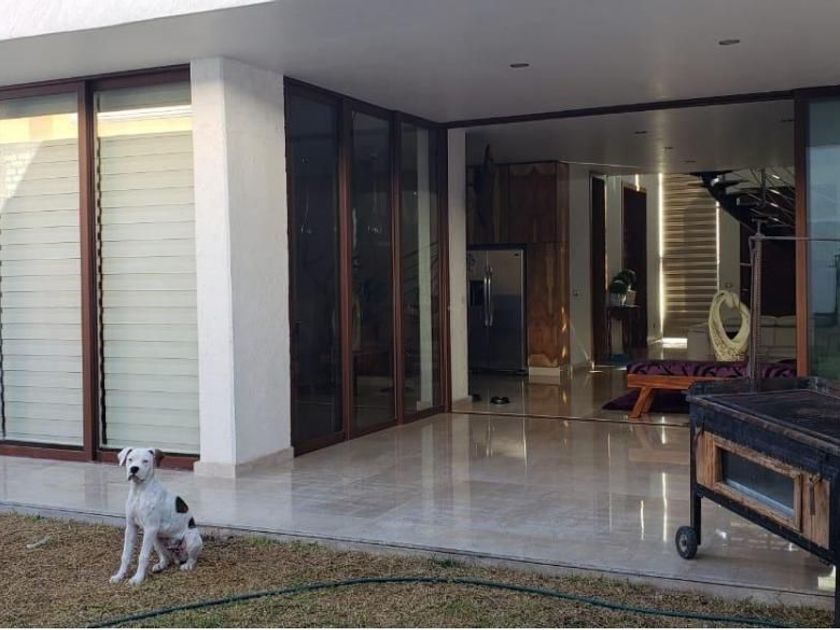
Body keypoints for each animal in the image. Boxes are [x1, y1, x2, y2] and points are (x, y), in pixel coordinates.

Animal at [110, 447, 203, 586]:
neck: (139, 491)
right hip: (156, 540)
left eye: (145, 461)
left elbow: (142, 556)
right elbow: (125, 554)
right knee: (166, 557)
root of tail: (178, 555)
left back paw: (187, 565)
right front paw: (119, 576)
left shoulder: (150, 528)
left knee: (192, 558)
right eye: (130, 459)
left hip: (191, 538)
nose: (134, 469)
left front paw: (137, 578)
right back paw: (161, 565)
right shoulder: (131, 527)